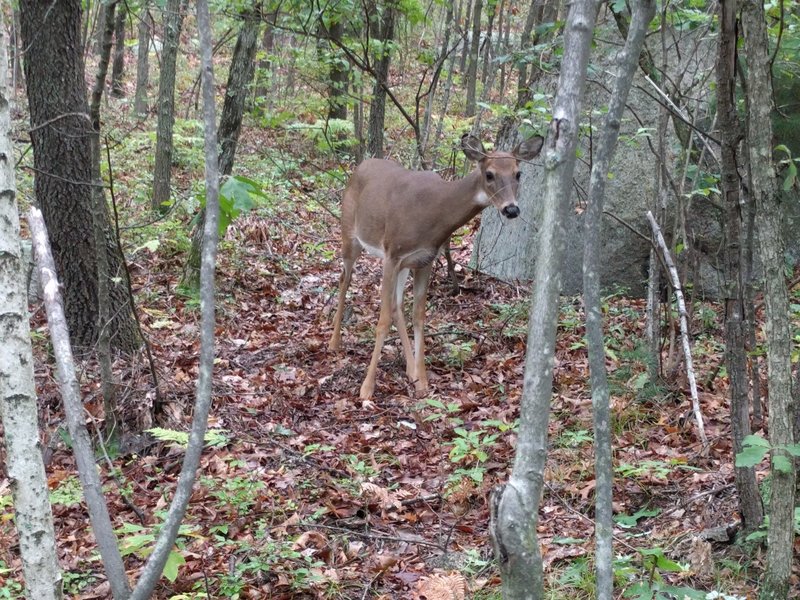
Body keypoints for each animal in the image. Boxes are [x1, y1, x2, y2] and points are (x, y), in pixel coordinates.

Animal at [326, 134, 544, 400]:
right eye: (489, 174)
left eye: (518, 173)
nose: (511, 209)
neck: (434, 215)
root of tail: (361, 166)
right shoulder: (392, 253)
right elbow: (383, 319)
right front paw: (367, 388)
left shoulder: (424, 259)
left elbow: (418, 315)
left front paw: (422, 382)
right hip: (350, 233)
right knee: (344, 278)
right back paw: (334, 343)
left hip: (404, 264)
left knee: (398, 304)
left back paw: (410, 369)